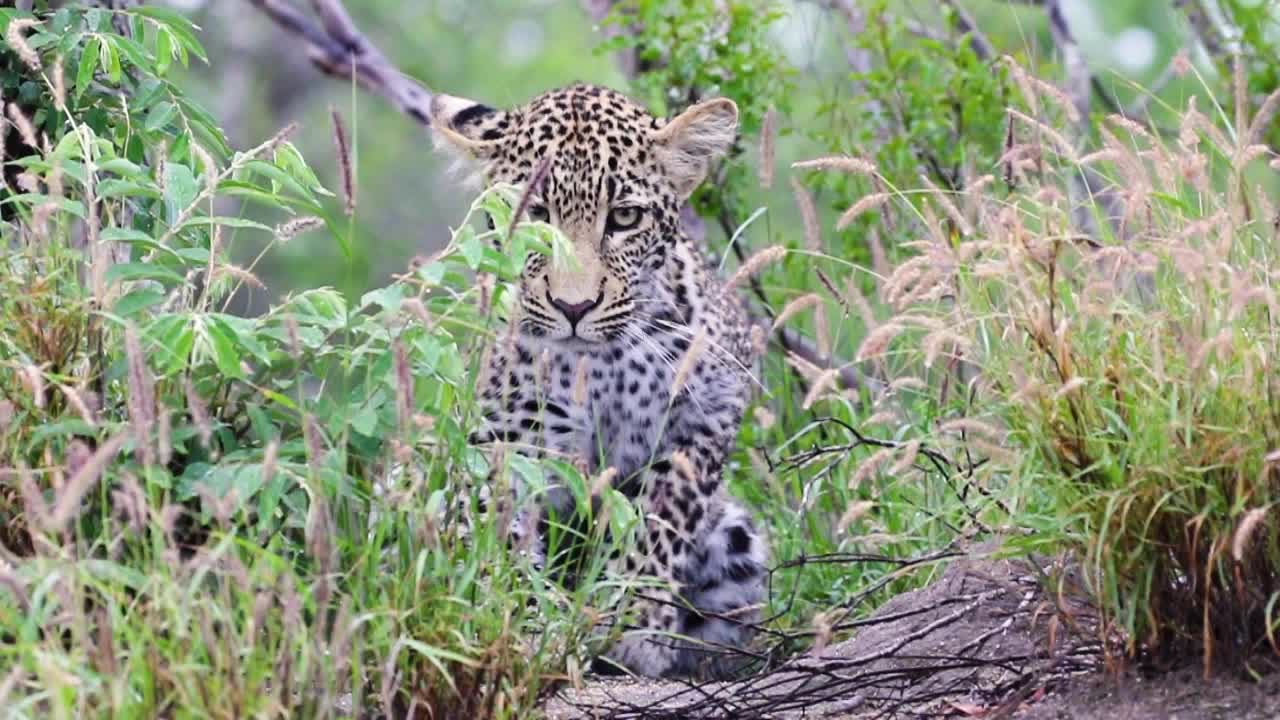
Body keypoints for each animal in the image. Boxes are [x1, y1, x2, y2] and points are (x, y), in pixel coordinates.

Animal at [430, 83, 768, 680]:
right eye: (535, 212)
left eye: (626, 218)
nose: (574, 306)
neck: (606, 364)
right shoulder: (503, 437)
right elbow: (499, 531)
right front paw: (531, 617)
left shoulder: (709, 413)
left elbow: (660, 520)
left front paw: (631, 625)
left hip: (736, 540)